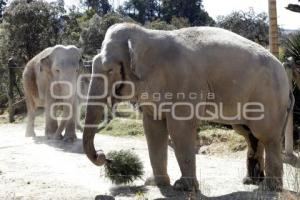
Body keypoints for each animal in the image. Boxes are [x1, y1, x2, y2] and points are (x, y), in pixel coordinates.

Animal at [82, 22, 292, 191]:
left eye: (110, 70)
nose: (104, 156)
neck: (147, 35)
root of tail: (284, 73)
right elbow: (153, 129)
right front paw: (157, 183)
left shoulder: (183, 83)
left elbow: (179, 129)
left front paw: (183, 187)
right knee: (249, 134)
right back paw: (251, 182)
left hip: (269, 97)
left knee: (265, 135)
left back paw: (270, 187)